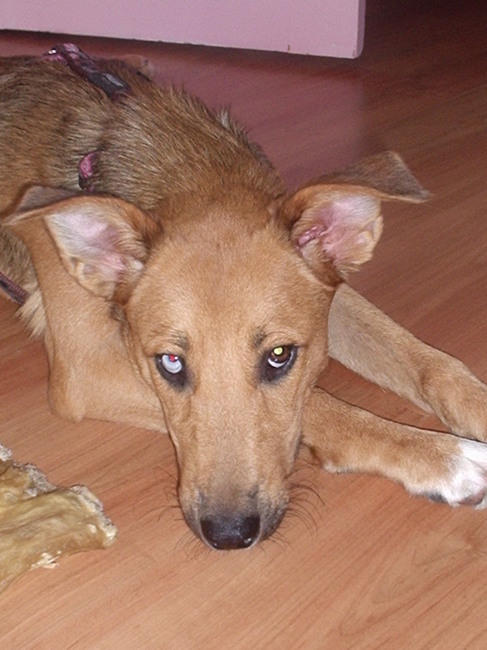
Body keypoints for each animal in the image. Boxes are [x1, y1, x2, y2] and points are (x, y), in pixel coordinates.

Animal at [2, 45, 487, 550]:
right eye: (170, 363)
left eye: (279, 355)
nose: (229, 535)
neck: (192, 172)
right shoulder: (87, 367)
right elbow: (325, 406)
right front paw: (442, 457)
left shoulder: (329, 297)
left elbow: (427, 361)